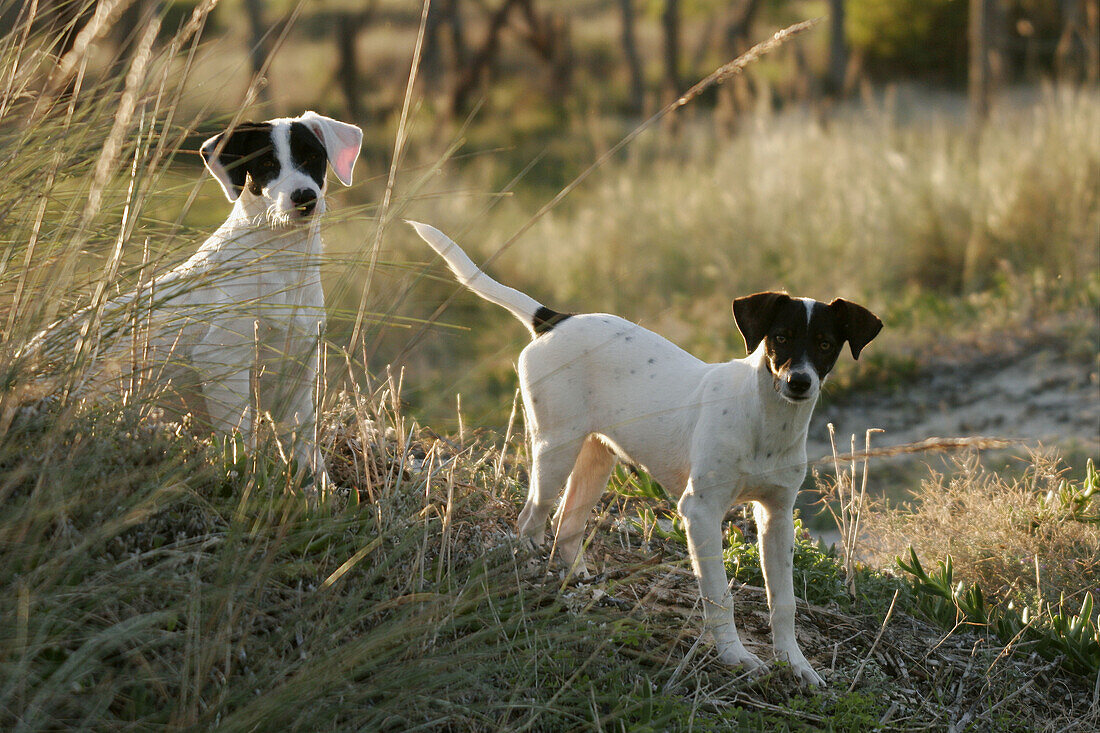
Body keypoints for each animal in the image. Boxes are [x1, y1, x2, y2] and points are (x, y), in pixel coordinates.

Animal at [413, 220, 884, 682]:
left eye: (825, 345)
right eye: (781, 338)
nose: (799, 383)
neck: (766, 421)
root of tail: (555, 320)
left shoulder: (778, 516)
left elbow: (783, 602)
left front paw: (796, 663)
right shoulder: (700, 511)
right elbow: (720, 595)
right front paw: (735, 656)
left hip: (596, 457)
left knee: (567, 526)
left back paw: (582, 587)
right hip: (554, 449)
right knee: (530, 520)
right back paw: (531, 578)